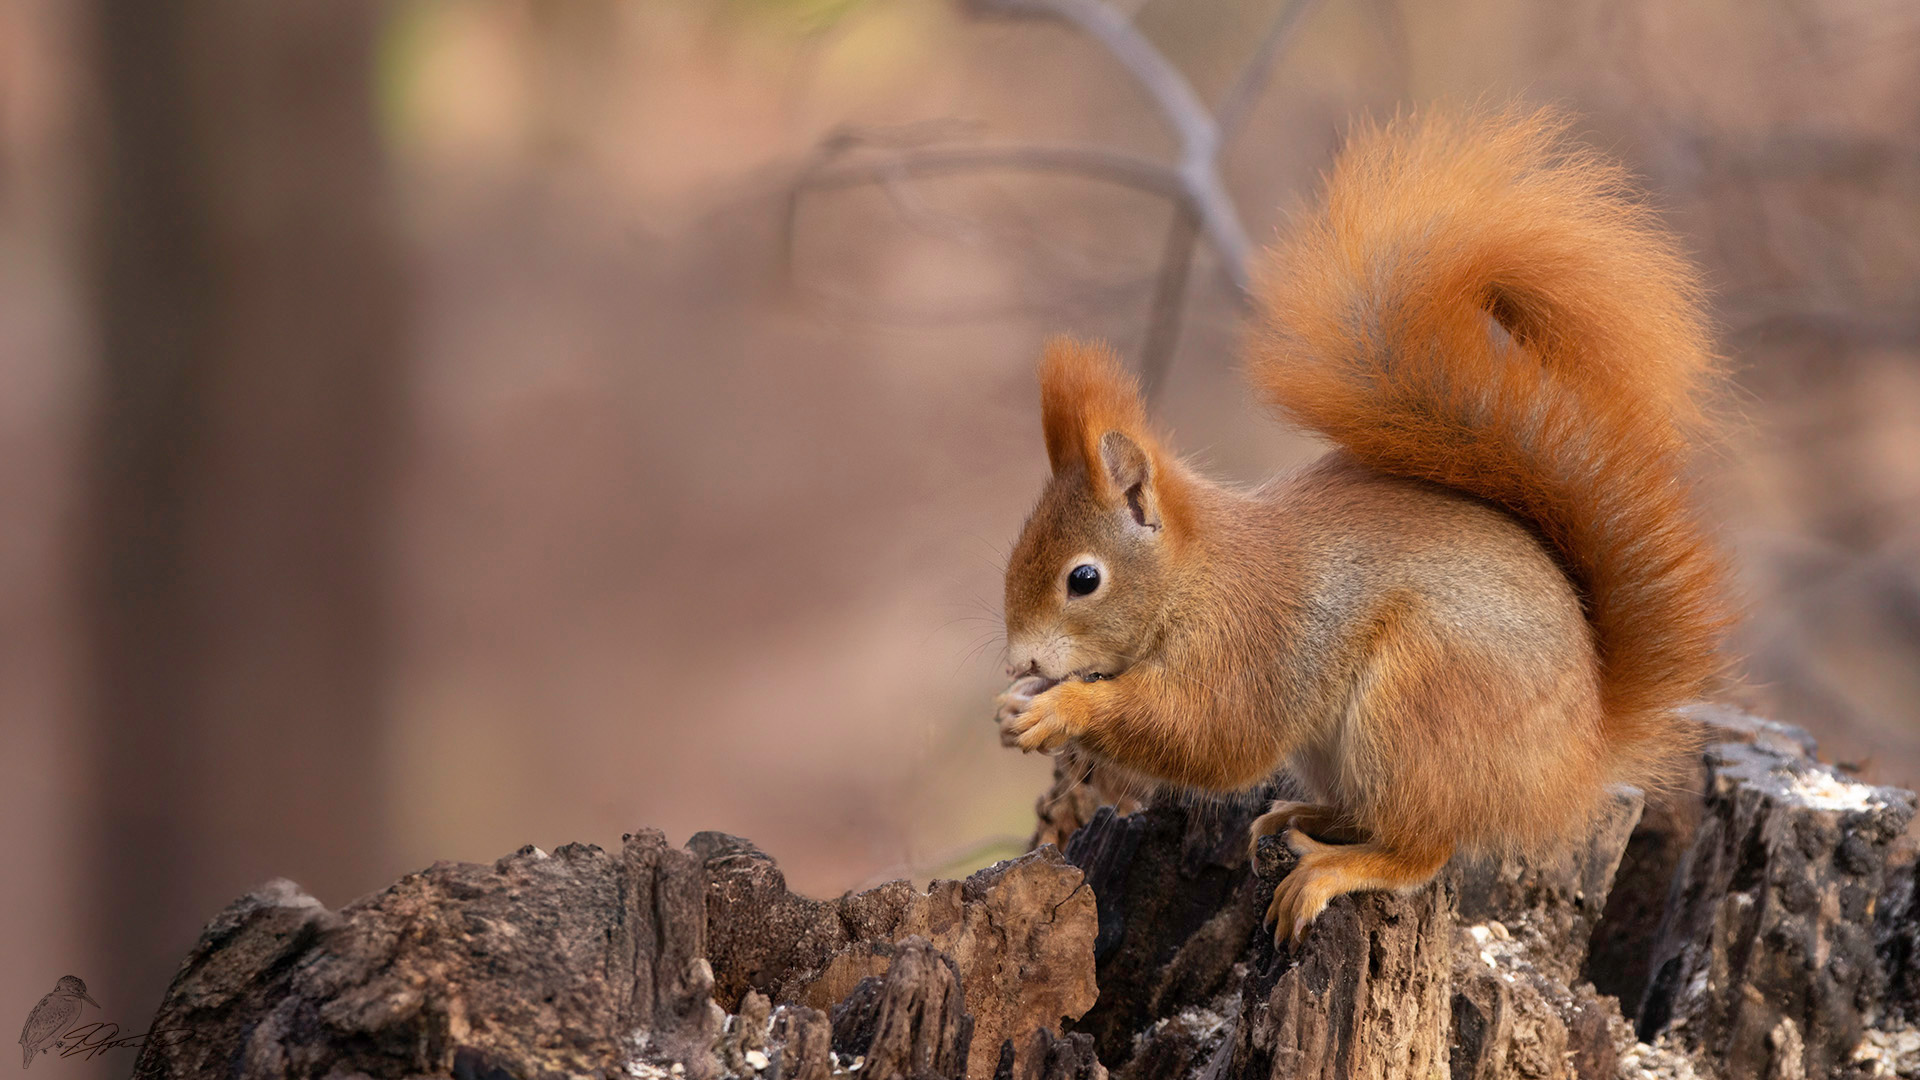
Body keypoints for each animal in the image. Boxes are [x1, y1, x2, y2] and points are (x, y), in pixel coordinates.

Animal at [998, 105, 1735, 937]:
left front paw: (1059, 709)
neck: (1196, 577)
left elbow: (1215, 736)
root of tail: (1578, 763)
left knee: (1422, 851)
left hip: (1421, 707)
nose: (1020, 663)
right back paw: (1300, 818)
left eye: (1084, 579)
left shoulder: (1251, 644)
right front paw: (1018, 706)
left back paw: (1333, 868)